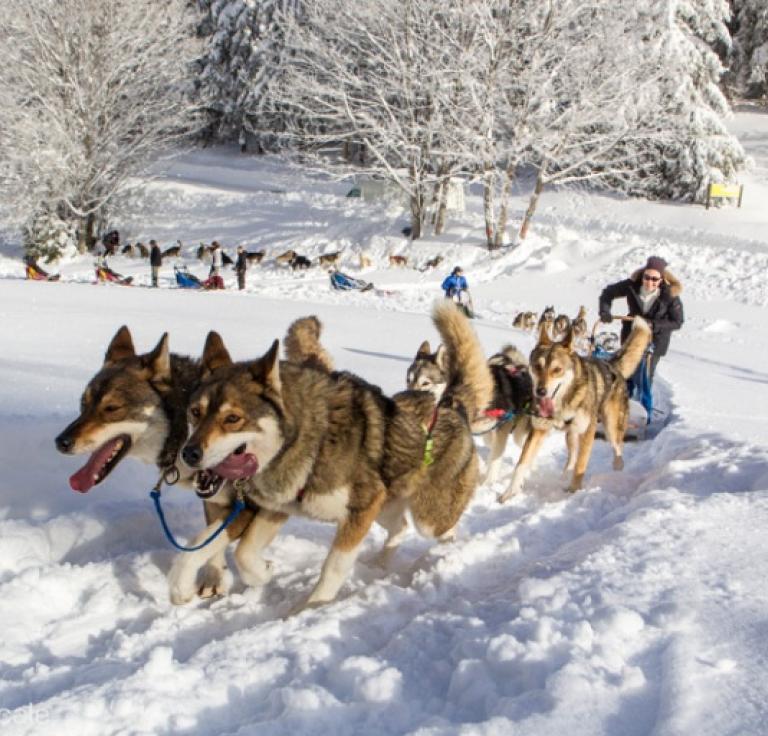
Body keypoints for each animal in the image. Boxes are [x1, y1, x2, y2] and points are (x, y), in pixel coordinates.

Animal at [498, 316, 656, 500]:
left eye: (557, 369)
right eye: (537, 366)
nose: (541, 391)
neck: (564, 401)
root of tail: (611, 365)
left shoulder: (588, 431)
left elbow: (582, 464)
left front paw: (574, 491)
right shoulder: (539, 429)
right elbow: (521, 463)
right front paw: (510, 492)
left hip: (610, 426)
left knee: (617, 446)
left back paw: (618, 466)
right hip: (572, 434)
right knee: (572, 457)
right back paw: (564, 475)